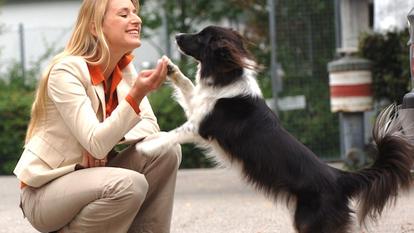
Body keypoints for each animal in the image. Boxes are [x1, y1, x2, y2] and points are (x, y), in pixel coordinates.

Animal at [137, 26, 414, 233]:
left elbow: (172, 134)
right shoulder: (197, 106)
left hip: (309, 222)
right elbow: (186, 85)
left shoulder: (200, 126)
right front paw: (171, 68)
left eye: (201, 37)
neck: (228, 76)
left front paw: (146, 146)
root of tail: (340, 177)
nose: (176, 36)